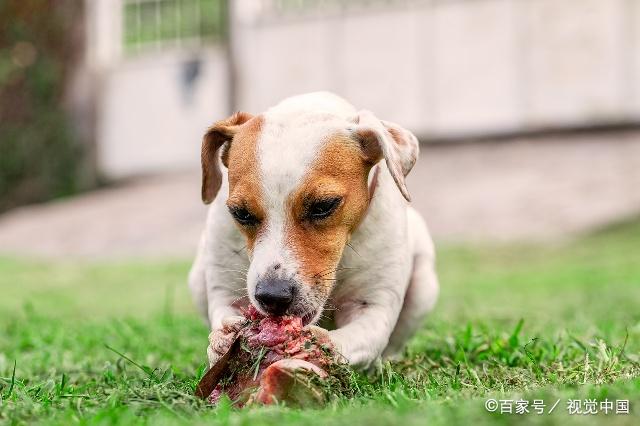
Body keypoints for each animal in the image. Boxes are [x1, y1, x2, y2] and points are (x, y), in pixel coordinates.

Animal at [189, 93, 440, 370]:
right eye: (240, 213)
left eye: (323, 206)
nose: (273, 296)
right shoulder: (227, 293)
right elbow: (224, 312)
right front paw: (221, 341)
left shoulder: (373, 306)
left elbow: (356, 338)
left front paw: (318, 347)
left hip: (423, 288)